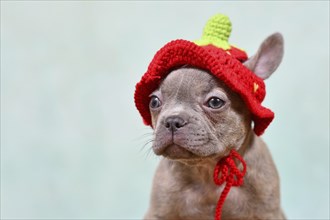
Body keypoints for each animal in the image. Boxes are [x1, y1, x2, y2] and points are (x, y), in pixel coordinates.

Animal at [145, 33, 286, 220]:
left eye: (215, 102)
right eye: (154, 102)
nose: (172, 121)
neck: (206, 170)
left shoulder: (268, 213)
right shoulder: (158, 212)